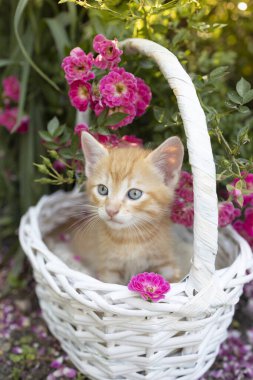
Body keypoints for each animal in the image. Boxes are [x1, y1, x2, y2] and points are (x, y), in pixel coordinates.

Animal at [71, 132, 184, 284]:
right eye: (102, 189)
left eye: (134, 194)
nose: (111, 210)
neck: (130, 238)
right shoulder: (108, 269)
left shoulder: (167, 262)